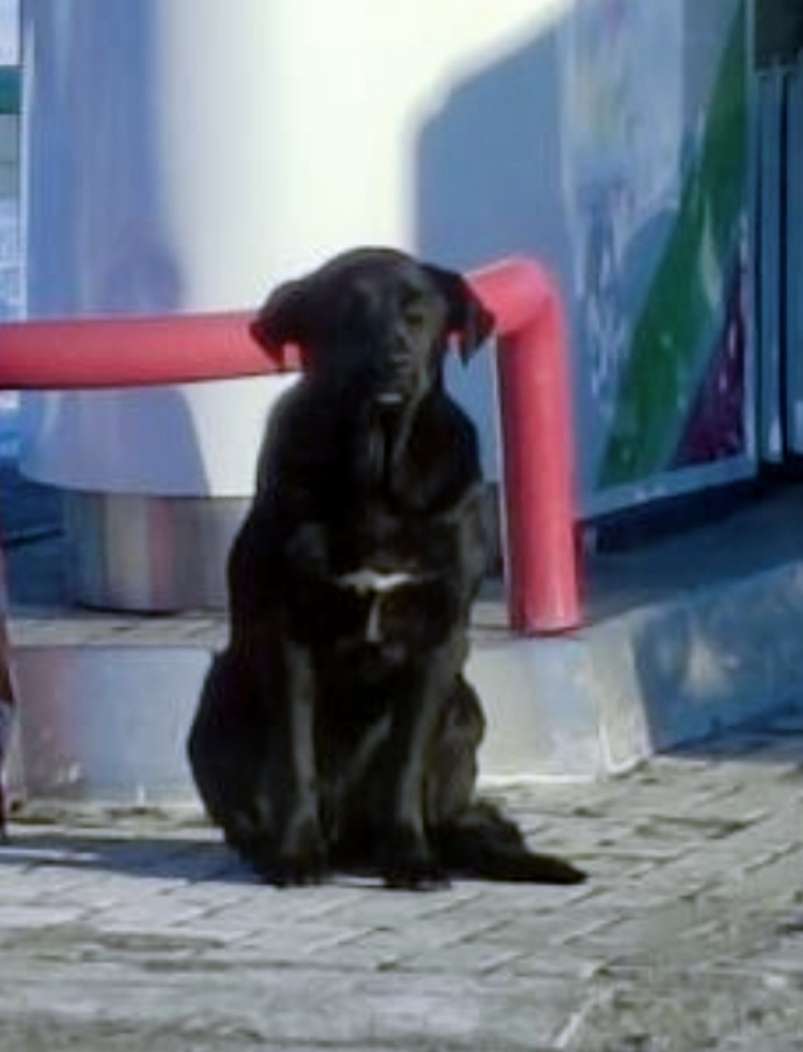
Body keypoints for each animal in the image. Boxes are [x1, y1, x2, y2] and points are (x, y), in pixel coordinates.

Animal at [188, 247, 585, 889]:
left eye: (418, 312)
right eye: (349, 312)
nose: (394, 359)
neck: (376, 468)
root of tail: (350, 840)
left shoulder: (439, 640)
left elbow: (404, 764)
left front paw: (411, 859)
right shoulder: (288, 633)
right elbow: (294, 759)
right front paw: (296, 854)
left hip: (465, 706)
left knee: (451, 815)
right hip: (217, 702)